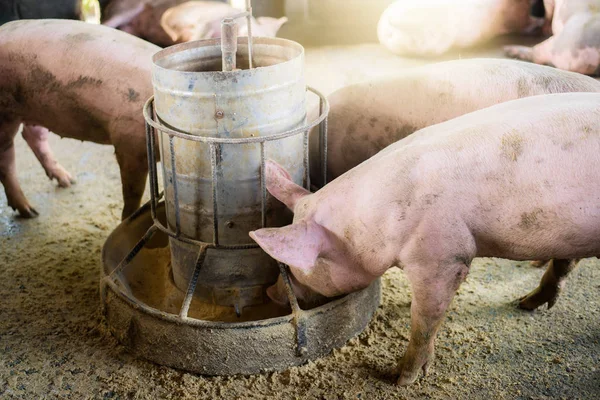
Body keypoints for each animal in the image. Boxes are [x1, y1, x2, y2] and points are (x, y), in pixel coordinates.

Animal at [0, 19, 159, 219]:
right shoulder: (129, 144)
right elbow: (133, 194)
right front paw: (127, 219)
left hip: (40, 106)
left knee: (32, 135)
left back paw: (68, 181)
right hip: (6, 111)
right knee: (6, 156)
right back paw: (30, 212)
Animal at [251, 93, 600, 384]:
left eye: (295, 267)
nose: (269, 292)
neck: (376, 222)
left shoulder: (443, 254)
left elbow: (424, 319)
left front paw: (398, 378)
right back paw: (525, 304)